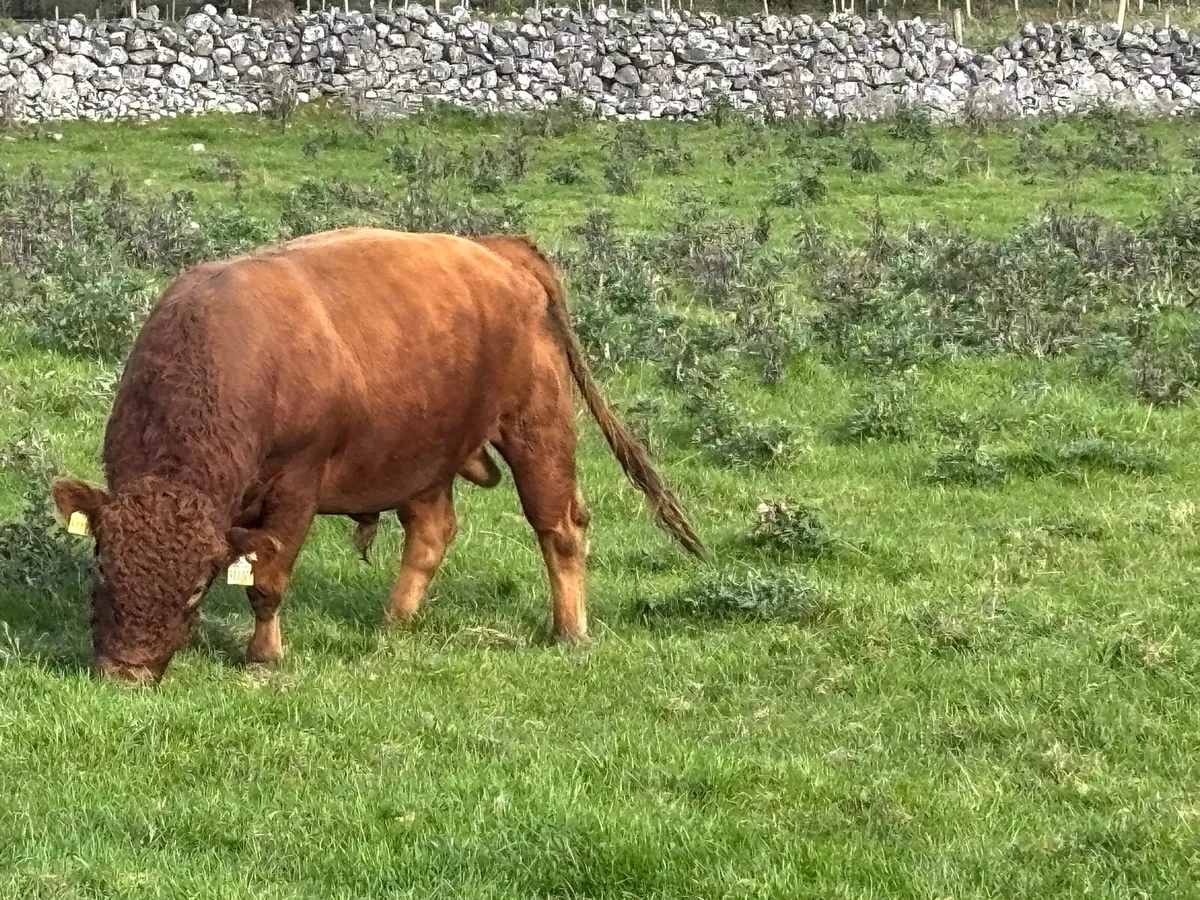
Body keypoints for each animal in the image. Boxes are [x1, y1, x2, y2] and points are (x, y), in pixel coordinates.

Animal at [51, 228, 704, 684]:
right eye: (104, 566)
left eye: (194, 589)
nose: (127, 673)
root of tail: (500, 250)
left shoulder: (296, 489)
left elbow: (268, 581)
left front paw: (264, 656)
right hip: (424, 459)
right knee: (433, 531)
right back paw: (396, 620)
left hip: (536, 426)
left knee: (560, 526)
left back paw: (570, 631)